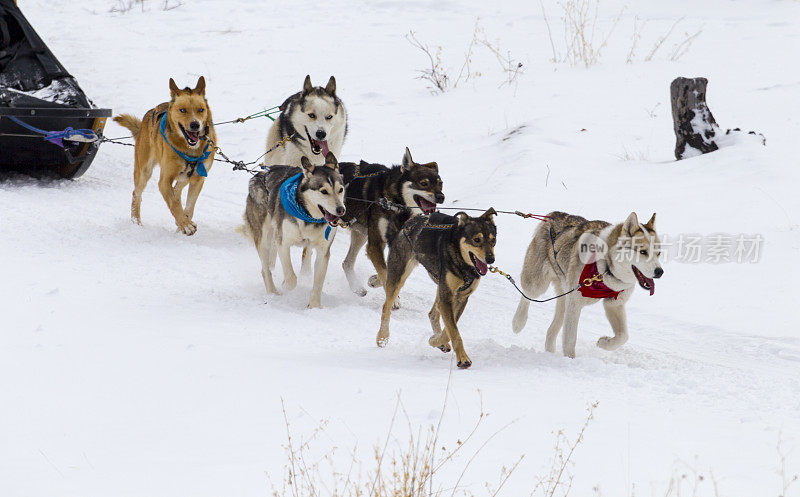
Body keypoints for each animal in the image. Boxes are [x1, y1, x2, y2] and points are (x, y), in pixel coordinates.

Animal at [112, 76, 217, 235]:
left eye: (201, 110)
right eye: (182, 110)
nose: (195, 125)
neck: (190, 150)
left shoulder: (198, 179)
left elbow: (189, 205)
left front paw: (183, 222)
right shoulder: (164, 180)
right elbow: (173, 203)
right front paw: (185, 224)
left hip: (185, 176)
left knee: (177, 189)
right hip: (144, 171)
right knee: (137, 194)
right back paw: (136, 222)